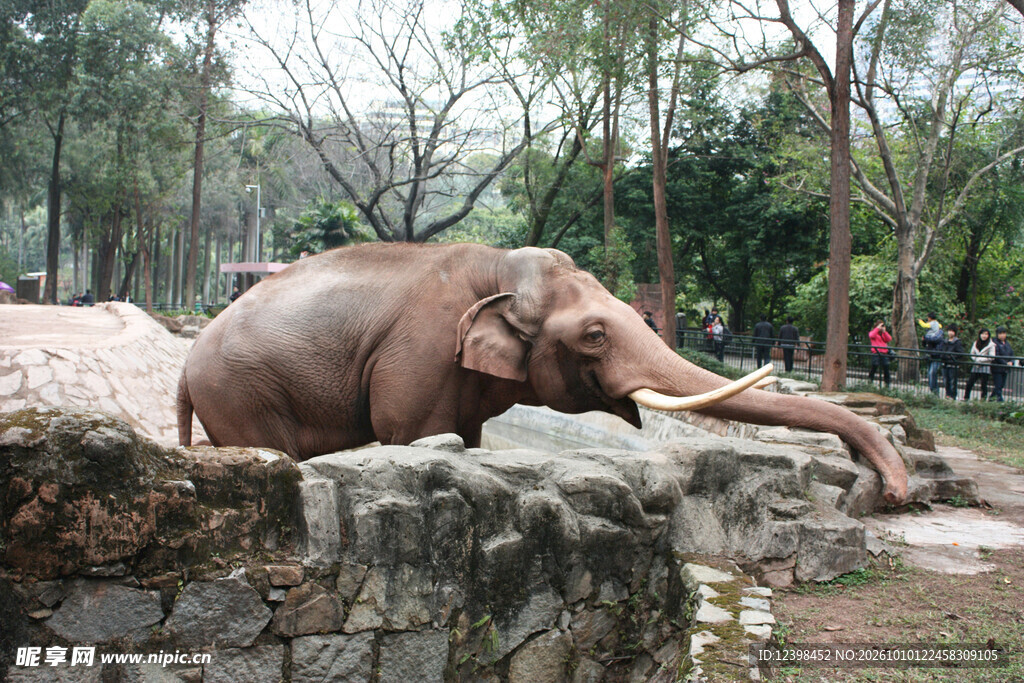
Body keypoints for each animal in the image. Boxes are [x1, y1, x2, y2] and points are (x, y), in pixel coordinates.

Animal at [178, 242, 908, 504]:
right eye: (595, 335)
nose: (897, 491)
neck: (494, 264)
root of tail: (185, 365)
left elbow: (462, 440)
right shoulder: (417, 355)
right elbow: (411, 436)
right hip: (241, 392)